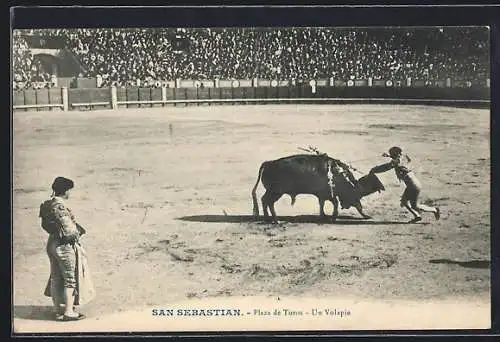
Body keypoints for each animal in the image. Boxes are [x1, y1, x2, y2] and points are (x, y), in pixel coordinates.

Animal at [252, 154, 384, 223]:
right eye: (357, 193)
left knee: (265, 201)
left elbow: (322, 204)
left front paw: (324, 216)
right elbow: (336, 204)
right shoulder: (329, 194)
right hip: (276, 192)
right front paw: (333, 217)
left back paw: (268, 218)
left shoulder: (324, 195)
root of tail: (268, 163)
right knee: (268, 202)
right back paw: (275, 220)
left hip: (272, 192)